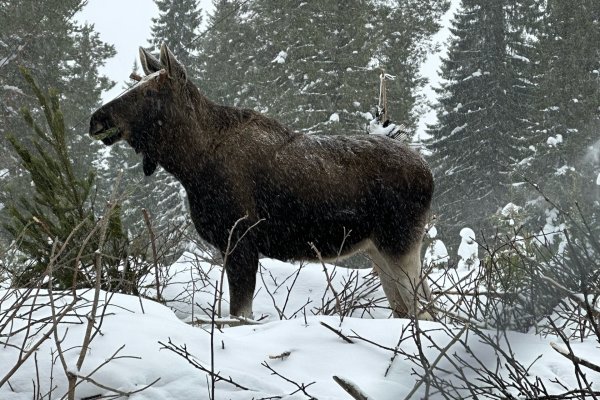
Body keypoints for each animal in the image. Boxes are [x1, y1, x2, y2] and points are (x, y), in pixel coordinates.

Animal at [89, 43, 434, 320]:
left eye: (149, 92)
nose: (97, 119)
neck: (191, 165)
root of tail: (428, 172)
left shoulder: (241, 238)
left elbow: (240, 313)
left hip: (400, 241)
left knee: (423, 309)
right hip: (377, 248)